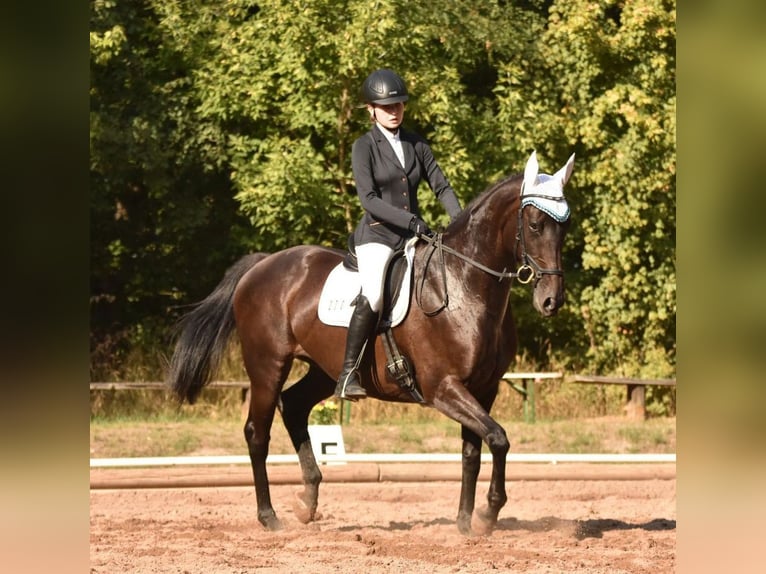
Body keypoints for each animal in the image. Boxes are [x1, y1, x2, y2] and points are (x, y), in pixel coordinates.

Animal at [168, 151, 576, 536]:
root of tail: (261, 266)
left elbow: (473, 452)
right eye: (535, 225)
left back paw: (307, 501)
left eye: (565, 227)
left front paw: (464, 524)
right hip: (267, 366)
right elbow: (499, 438)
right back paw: (269, 517)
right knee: (258, 432)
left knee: (294, 406)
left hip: (323, 369)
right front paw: (488, 514)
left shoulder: (483, 389)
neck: (465, 285)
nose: (551, 301)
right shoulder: (444, 388)